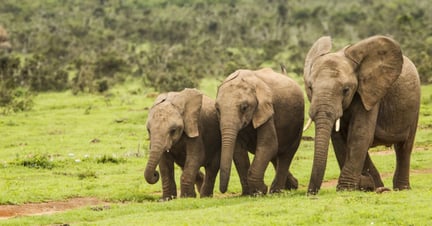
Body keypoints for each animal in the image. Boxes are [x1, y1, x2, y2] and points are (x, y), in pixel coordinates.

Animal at [302, 34, 420, 194]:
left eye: (346, 90)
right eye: (310, 88)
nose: (311, 193)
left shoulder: (370, 94)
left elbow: (360, 134)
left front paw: (345, 189)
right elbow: (339, 138)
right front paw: (363, 185)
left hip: (415, 105)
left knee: (404, 146)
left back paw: (400, 189)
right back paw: (378, 186)